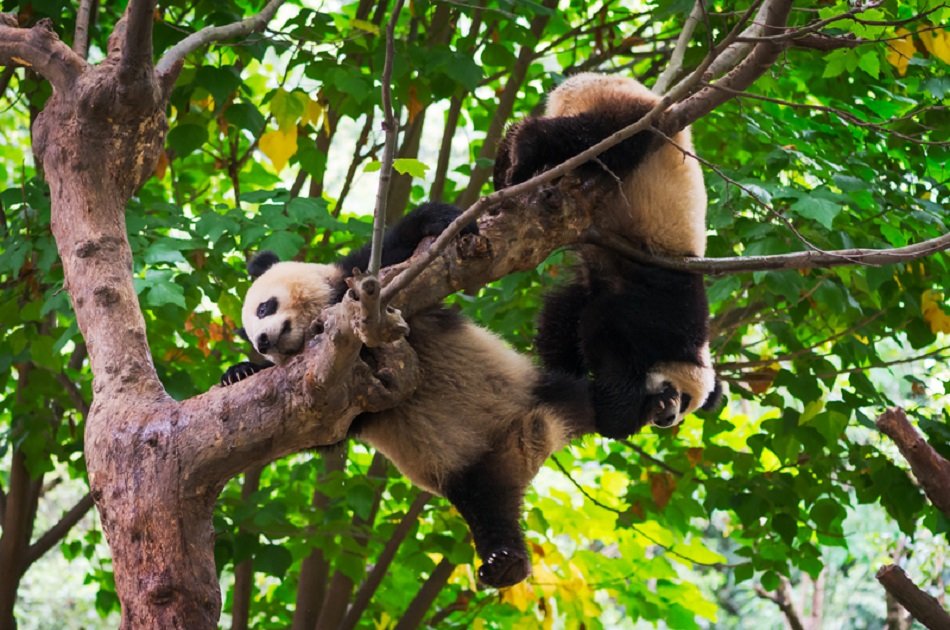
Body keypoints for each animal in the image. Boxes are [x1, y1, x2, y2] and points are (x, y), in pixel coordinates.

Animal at [221, 202, 594, 588]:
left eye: (264, 307)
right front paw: (239, 372)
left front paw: (442, 220)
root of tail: (529, 446)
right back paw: (504, 561)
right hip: (470, 474)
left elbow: (392, 259)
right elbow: (329, 433)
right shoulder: (343, 396)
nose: (264, 341)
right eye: (256, 343)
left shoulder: (366, 296)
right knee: (488, 508)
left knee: (586, 398)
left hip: (532, 390)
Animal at [493, 72, 723, 438]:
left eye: (685, 410)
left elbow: (566, 314)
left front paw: (563, 372)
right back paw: (521, 158)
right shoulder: (667, 305)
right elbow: (605, 325)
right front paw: (620, 411)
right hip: (634, 116)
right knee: (595, 136)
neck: (693, 349)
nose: (667, 418)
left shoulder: (599, 276)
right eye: (682, 397)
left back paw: (505, 163)